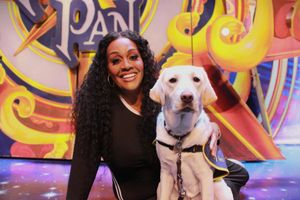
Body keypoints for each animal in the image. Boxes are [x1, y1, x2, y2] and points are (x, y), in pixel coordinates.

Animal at [151, 66, 233, 200]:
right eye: (172, 80)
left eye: (196, 79)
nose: (187, 96)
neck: (180, 133)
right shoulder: (165, 172)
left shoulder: (205, 175)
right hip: (160, 186)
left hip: (221, 189)